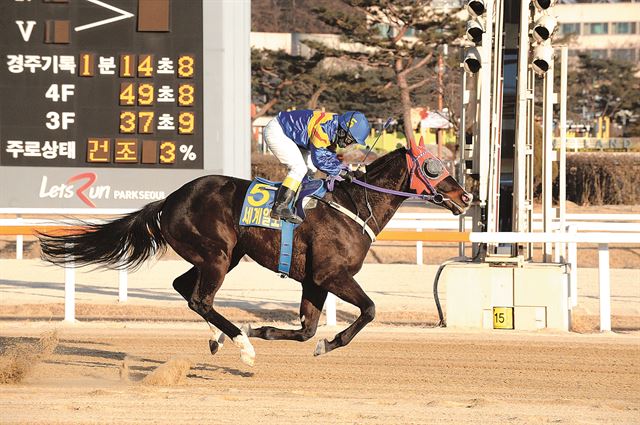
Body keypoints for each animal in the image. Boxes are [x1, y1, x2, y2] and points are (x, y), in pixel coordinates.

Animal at [38, 139, 470, 364]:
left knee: (185, 288)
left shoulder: (314, 281)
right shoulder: (331, 275)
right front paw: (327, 343)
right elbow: (369, 310)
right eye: (433, 166)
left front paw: (267, 330)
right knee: (199, 299)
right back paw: (241, 345)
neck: (352, 206)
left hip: (223, 256)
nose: (465, 197)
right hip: (216, 254)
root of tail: (169, 200)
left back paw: (221, 337)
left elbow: (306, 330)